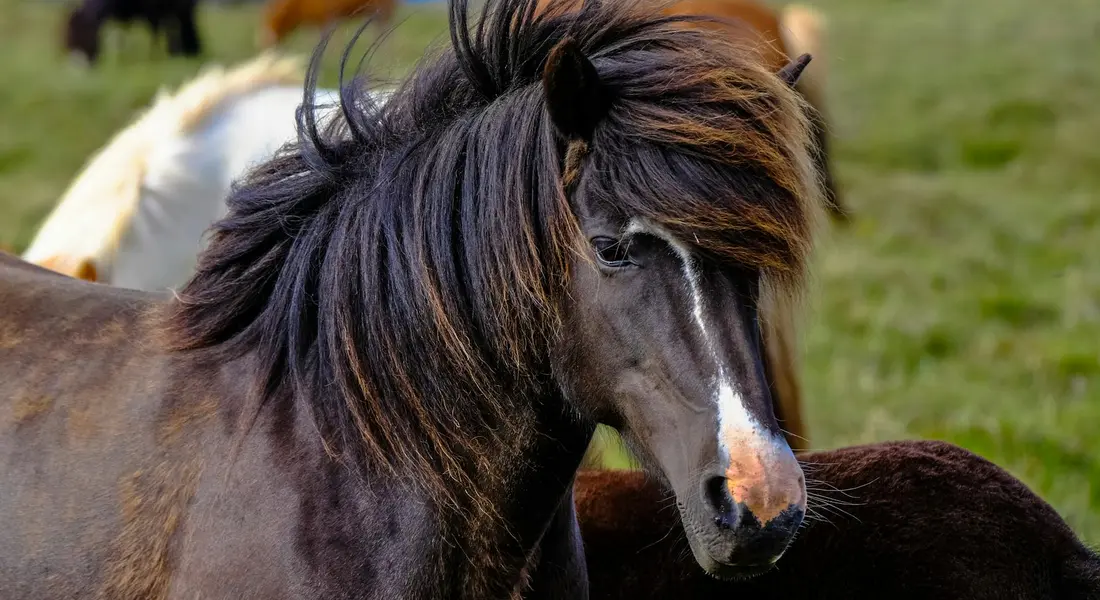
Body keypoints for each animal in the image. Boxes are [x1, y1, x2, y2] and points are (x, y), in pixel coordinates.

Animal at [258, 0, 397, 48]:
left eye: (270, 22)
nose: (265, 44)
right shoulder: (317, 20)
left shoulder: (328, 16)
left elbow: (327, 39)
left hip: (384, 10)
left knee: (386, 32)